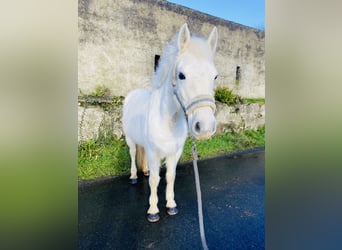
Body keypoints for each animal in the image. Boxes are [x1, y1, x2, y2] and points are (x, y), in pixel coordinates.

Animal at [123, 23, 219, 223]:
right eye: (181, 75)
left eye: (215, 76)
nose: (205, 127)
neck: (168, 121)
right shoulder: (154, 152)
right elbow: (154, 180)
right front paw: (153, 210)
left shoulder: (175, 153)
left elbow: (170, 177)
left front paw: (171, 205)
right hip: (130, 139)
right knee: (133, 153)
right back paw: (134, 176)